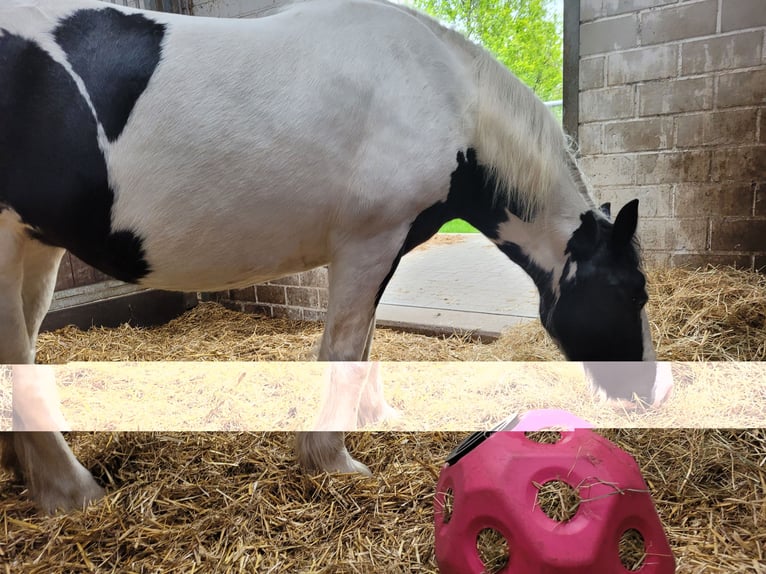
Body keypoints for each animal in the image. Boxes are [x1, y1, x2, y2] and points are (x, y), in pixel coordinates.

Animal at [0, 0, 672, 512]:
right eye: (632, 291)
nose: (652, 391)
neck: (441, 93)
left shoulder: (382, 251)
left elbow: (367, 342)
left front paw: (376, 417)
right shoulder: (368, 245)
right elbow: (344, 351)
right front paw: (330, 459)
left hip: (36, 250)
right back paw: (71, 491)